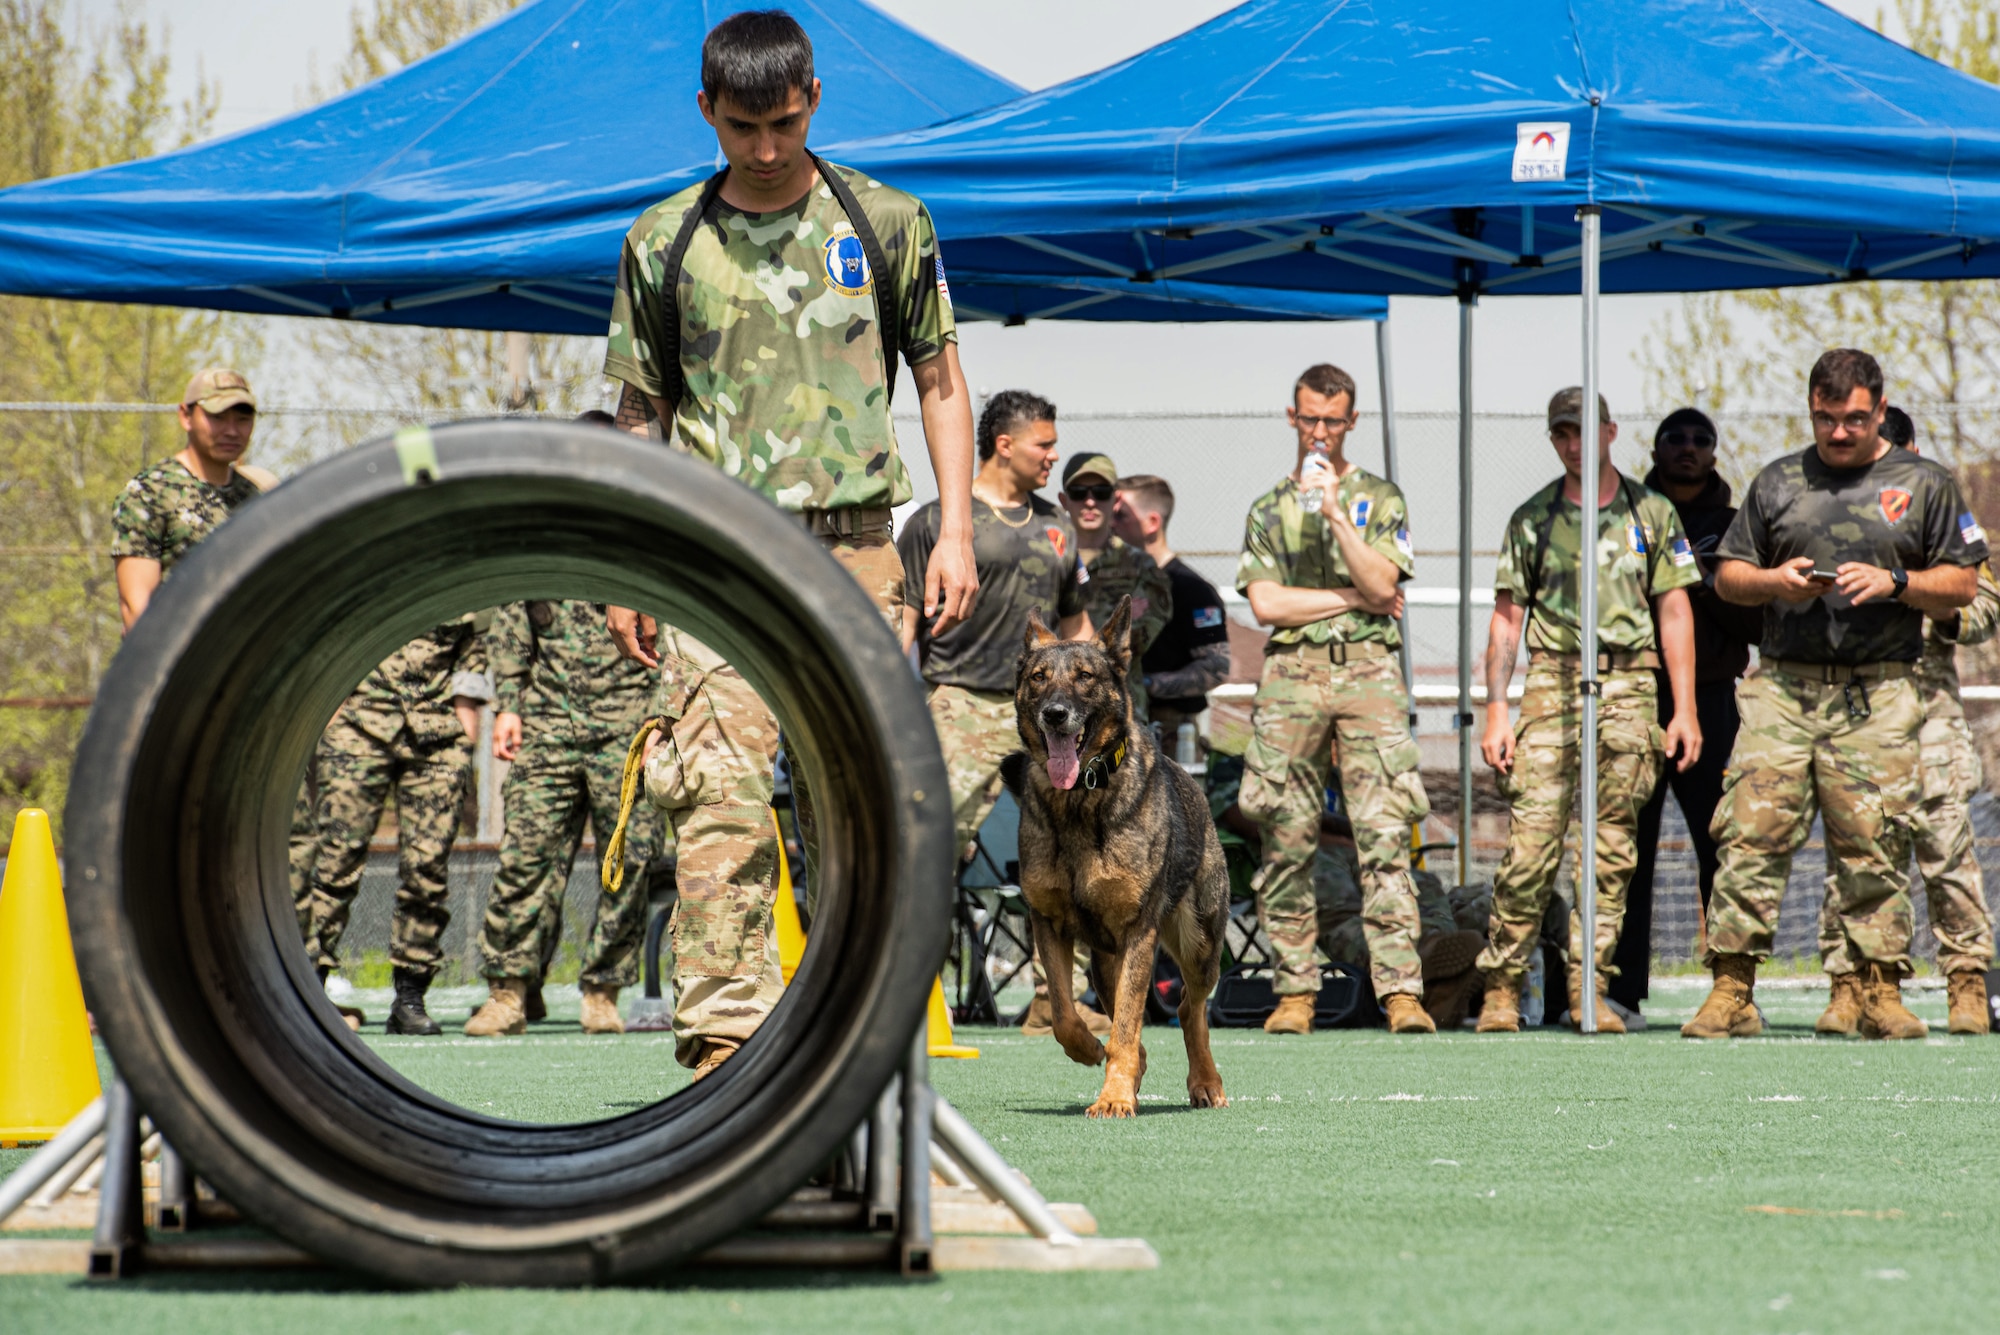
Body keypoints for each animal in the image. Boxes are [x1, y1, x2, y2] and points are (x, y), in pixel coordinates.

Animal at [1008, 595, 1224, 1119]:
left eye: (1085, 676)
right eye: (1039, 677)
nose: (1055, 714)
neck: (1080, 799)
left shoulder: (1139, 933)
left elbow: (1127, 1024)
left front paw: (1115, 1096)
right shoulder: (1048, 924)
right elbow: (1065, 1015)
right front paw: (1091, 1051)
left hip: (1200, 943)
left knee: (1189, 1008)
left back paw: (1205, 1082)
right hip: (1106, 964)